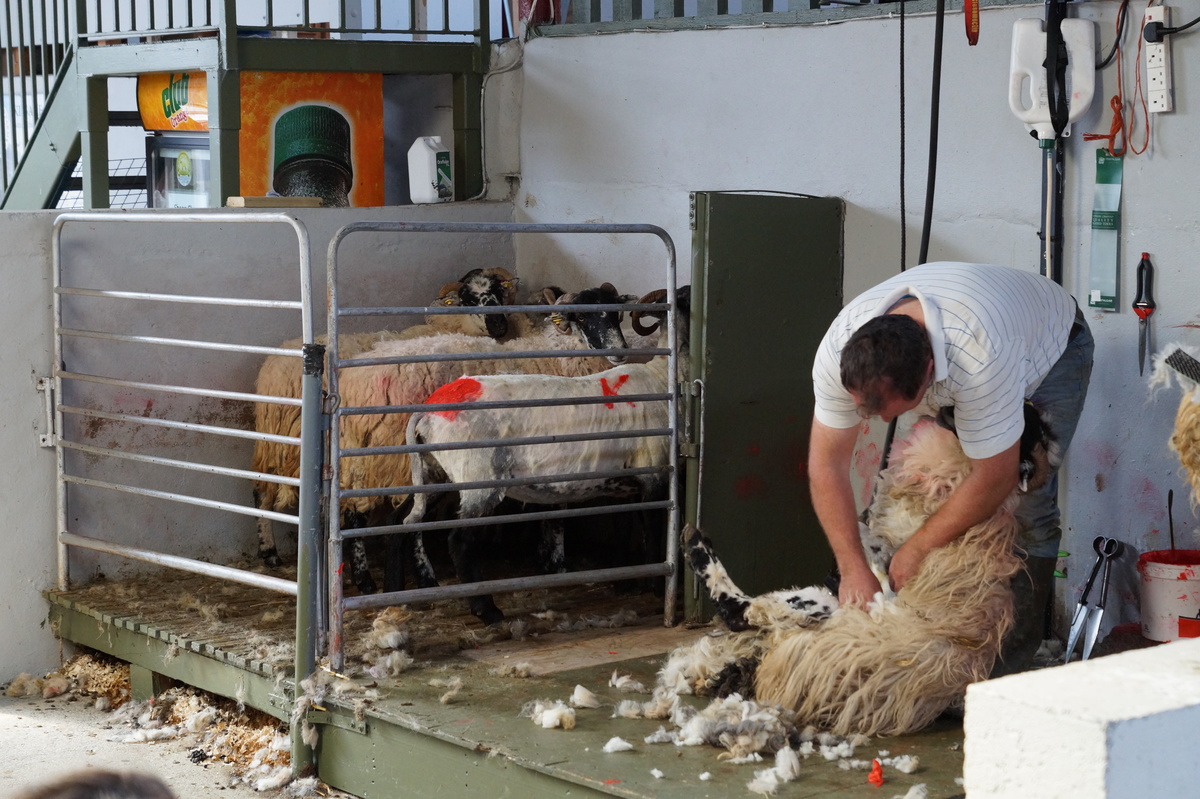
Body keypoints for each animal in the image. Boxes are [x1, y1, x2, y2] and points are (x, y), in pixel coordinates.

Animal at [250, 268, 524, 579]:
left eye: (498, 291)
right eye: (468, 298)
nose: (498, 324)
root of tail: (276, 370)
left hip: (278, 440)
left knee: (262, 488)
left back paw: (270, 552)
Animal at [331, 282, 642, 596]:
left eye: (617, 313)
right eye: (581, 316)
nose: (620, 351)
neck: (556, 358)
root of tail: (357, 383)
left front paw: (543, 557)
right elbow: (557, 513)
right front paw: (556, 562)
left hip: (362, 458)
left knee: (358, 511)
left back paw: (369, 577)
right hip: (403, 462)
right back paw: (418, 577)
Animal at [401, 287, 690, 623]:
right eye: (683, 301)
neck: (663, 377)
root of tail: (428, 410)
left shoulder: (626, 483)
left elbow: (624, 527)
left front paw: (626, 581)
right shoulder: (655, 475)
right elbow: (654, 533)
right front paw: (657, 587)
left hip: (435, 471)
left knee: (409, 520)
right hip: (478, 479)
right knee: (460, 542)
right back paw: (486, 609)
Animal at [651, 408, 1053, 737]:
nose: (948, 409)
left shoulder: (883, 583)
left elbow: (867, 546)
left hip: (829, 610)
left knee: (743, 610)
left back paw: (696, 544)